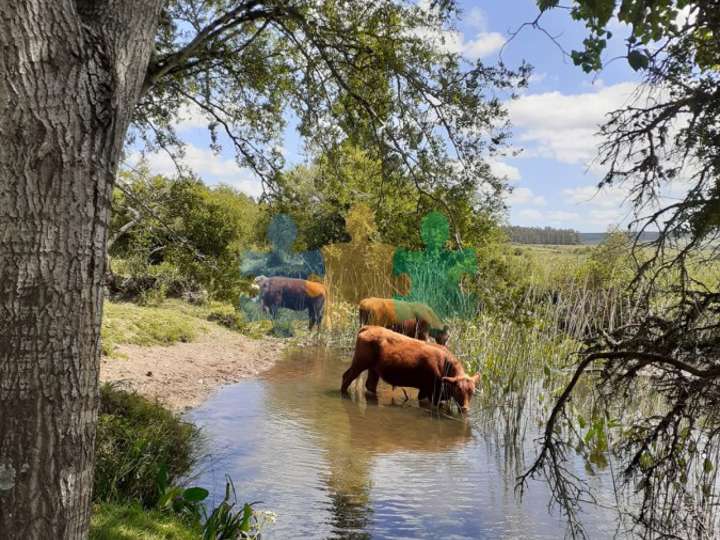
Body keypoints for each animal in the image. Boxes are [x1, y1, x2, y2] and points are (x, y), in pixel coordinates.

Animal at [342, 324, 480, 414]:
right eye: (458, 390)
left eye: (472, 391)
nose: (465, 408)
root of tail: (369, 327)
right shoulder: (428, 390)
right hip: (360, 363)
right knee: (347, 376)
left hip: (374, 368)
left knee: (370, 384)